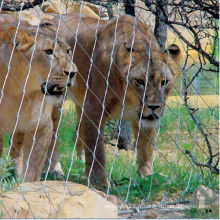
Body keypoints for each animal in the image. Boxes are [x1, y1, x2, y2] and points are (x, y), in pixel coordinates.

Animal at [0, 15, 78, 180]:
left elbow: (33, 168)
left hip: (56, 114)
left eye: (68, 51)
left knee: (54, 142)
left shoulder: (42, 126)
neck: (18, 91)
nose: (73, 72)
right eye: (48, 51)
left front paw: (26, 183)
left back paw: (55, 171)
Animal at [40, 14, 181, 189]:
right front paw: (100, 183)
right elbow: (97, 151)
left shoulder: (143, 117)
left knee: (78, 130)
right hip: (55, 97)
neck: (128, 96)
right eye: (140, 81)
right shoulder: (94, 109)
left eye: (164, 82)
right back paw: (54, 170)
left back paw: (79, 161)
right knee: (53, 136)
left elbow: (145, 148)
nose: (154, 107)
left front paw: (148, 177)